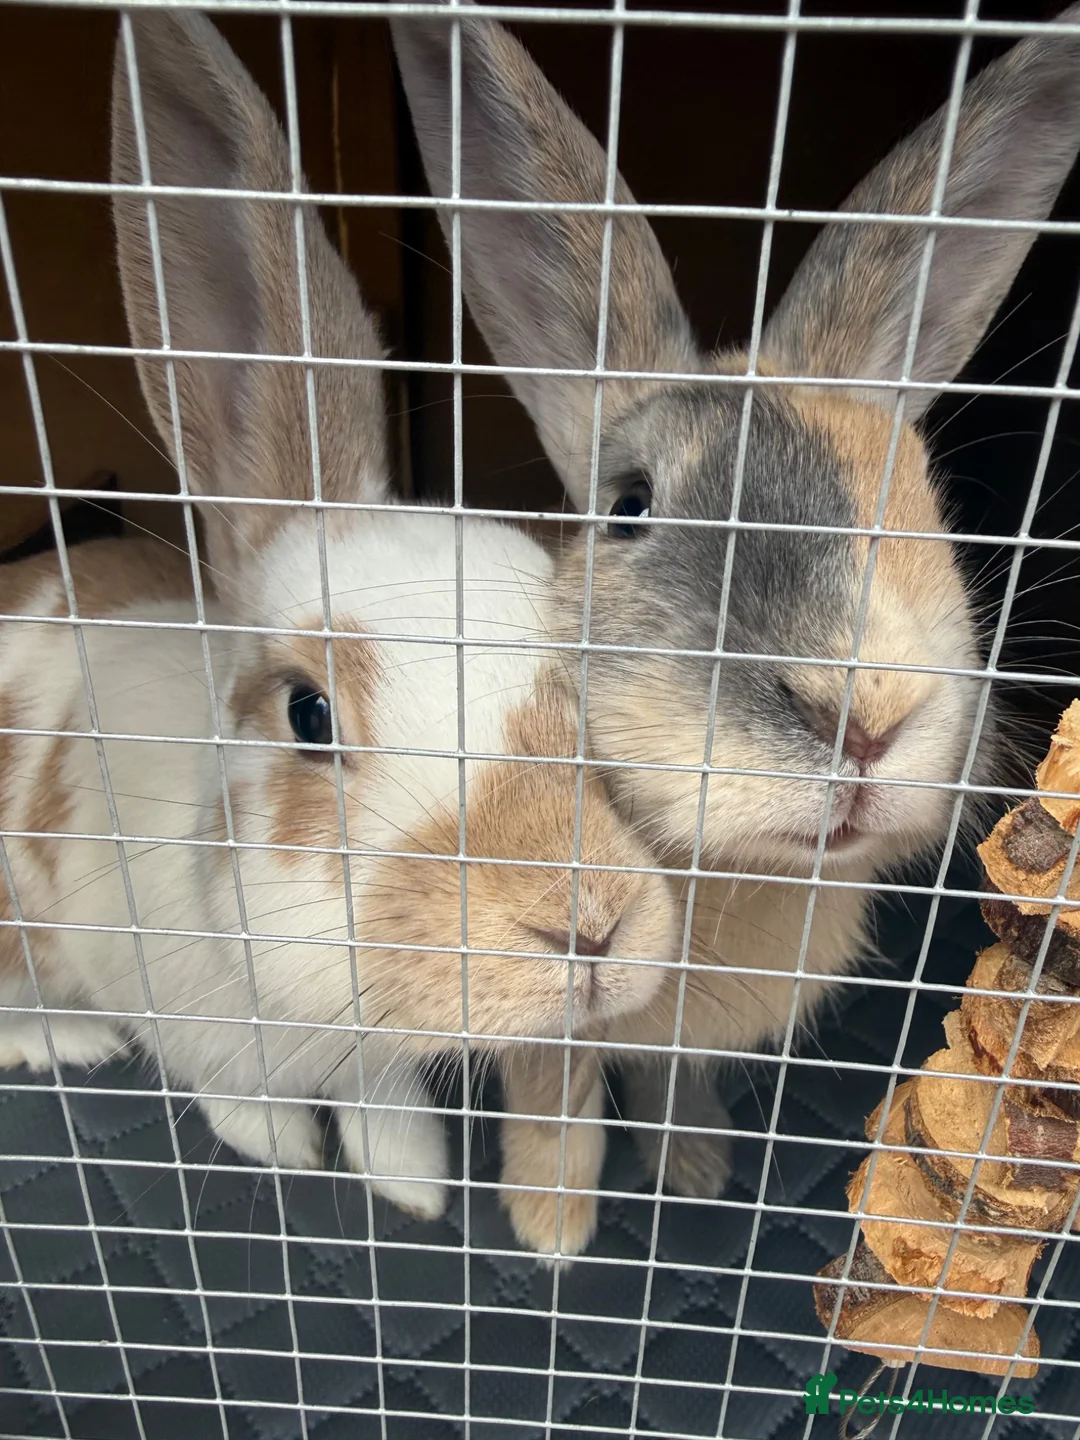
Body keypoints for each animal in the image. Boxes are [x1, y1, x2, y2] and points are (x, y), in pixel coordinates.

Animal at [0, 8, 678, 1257]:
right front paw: (288, 1147)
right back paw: (64, 1037)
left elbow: (383, 1097)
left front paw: (411, 1181)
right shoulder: (187, 1011)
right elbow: (235, 1095)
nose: (590, 930)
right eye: (309, 713)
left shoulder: (369, 1057)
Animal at [393, 3, 1080, 1213]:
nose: (861, 716)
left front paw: (699, 1168)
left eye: (919, 500)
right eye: (628, 506)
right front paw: (551, 1214)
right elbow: (553, 1087)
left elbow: (676, 1085)